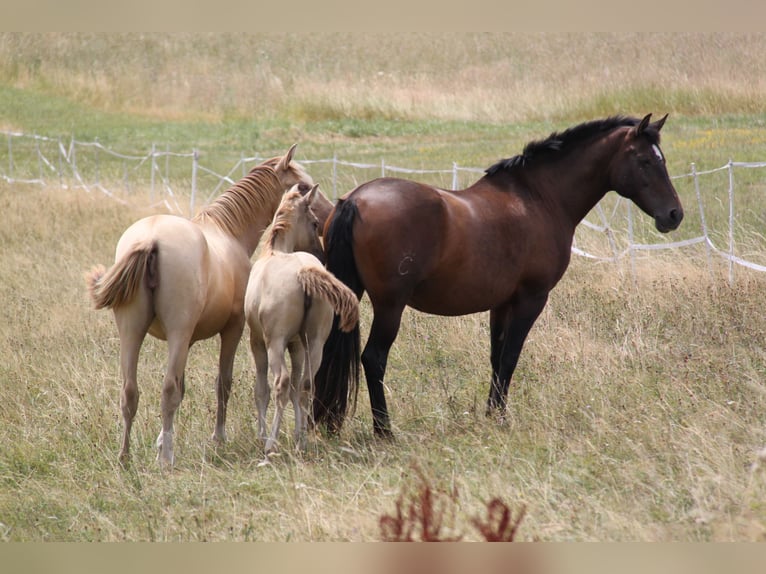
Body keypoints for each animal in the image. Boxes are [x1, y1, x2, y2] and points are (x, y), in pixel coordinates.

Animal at [85, 144, 314, 466]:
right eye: (302, 186)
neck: (228, 231)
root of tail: (151, 239)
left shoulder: (188, 341)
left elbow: (182, 387)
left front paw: (161, 440)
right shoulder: (233, 330)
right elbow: (222, 384)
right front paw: (217, 438)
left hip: (132, 332)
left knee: (130, 392)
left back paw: (125, 457)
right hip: (176, 333)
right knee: (166, 390)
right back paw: (166, 460)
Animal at [245, 185, 359, 456]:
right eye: (315, 222)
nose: (322, 255)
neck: (274, 252)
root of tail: (303, 272)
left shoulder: (257, 341)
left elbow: (261, 390)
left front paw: (261, 435)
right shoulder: (297, 345)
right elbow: (298, 387)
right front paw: (297, 433)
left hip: (275, 343)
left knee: (281, 384)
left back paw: (271, 443)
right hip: (314, 342)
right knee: (306, 385)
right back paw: (301, 442)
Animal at [312, 114, 684, 438]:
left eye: (663, 159)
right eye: (646, 161)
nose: (674, 214)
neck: (539, 198)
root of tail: (354, 200)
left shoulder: (501, 304)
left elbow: (496, 357)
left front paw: (492, 413)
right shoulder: (531, 299)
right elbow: (510, 357)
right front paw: (502, 418)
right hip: (390, 305)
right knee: (373, 359)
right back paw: (384, 431)